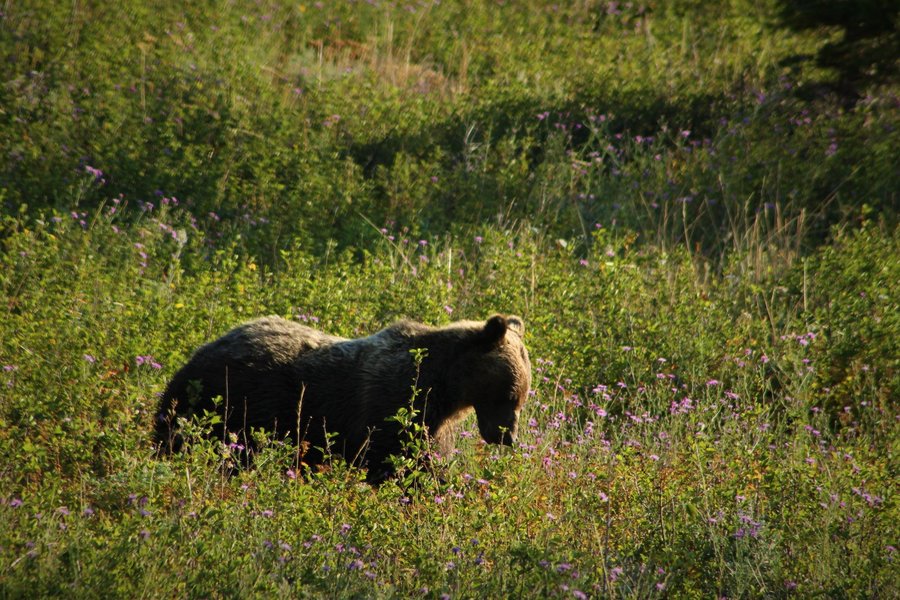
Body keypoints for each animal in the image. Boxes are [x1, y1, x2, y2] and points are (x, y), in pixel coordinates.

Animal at [154, 314, 531, 483]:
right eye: (510, 394)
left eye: (521, 398)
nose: (508, 436)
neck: (446, 389)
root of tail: (199, 352)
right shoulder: (393, 407)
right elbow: (395, 462)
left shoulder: (433, 423)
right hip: (226, 404)